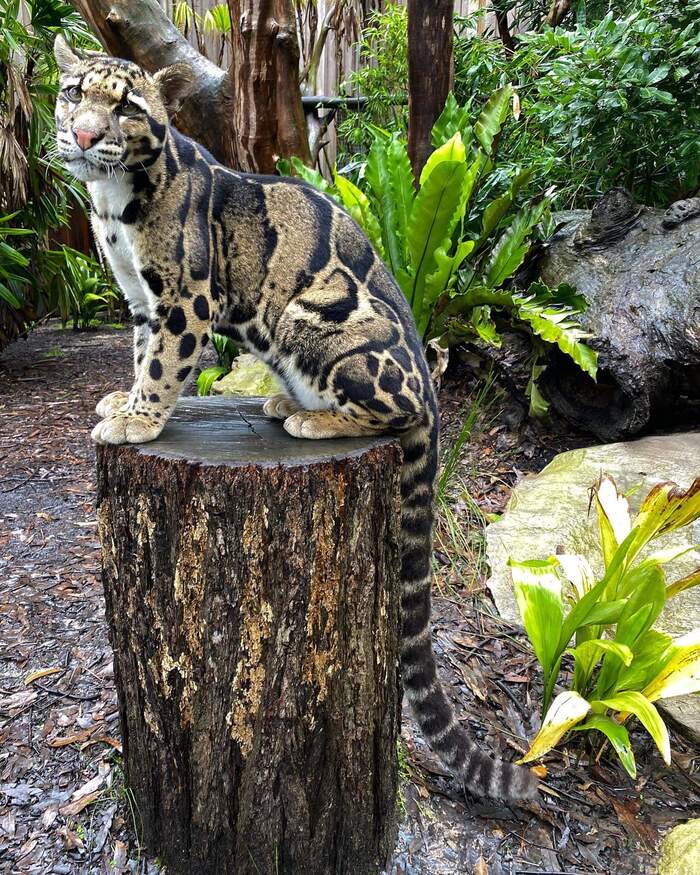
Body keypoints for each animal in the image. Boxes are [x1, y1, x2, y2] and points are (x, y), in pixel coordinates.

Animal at [53, 36, 536, 800]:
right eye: (74, 92)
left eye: (126, 105)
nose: (82, 134)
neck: (111, 202)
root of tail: (430, 385)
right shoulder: (137, 299)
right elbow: (137, 355)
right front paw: (121, 400)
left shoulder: (185, 298)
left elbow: (163, 364)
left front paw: (138, 418)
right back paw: (287, 402)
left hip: (317, 320)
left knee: (396, 412)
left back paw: (317, 420)